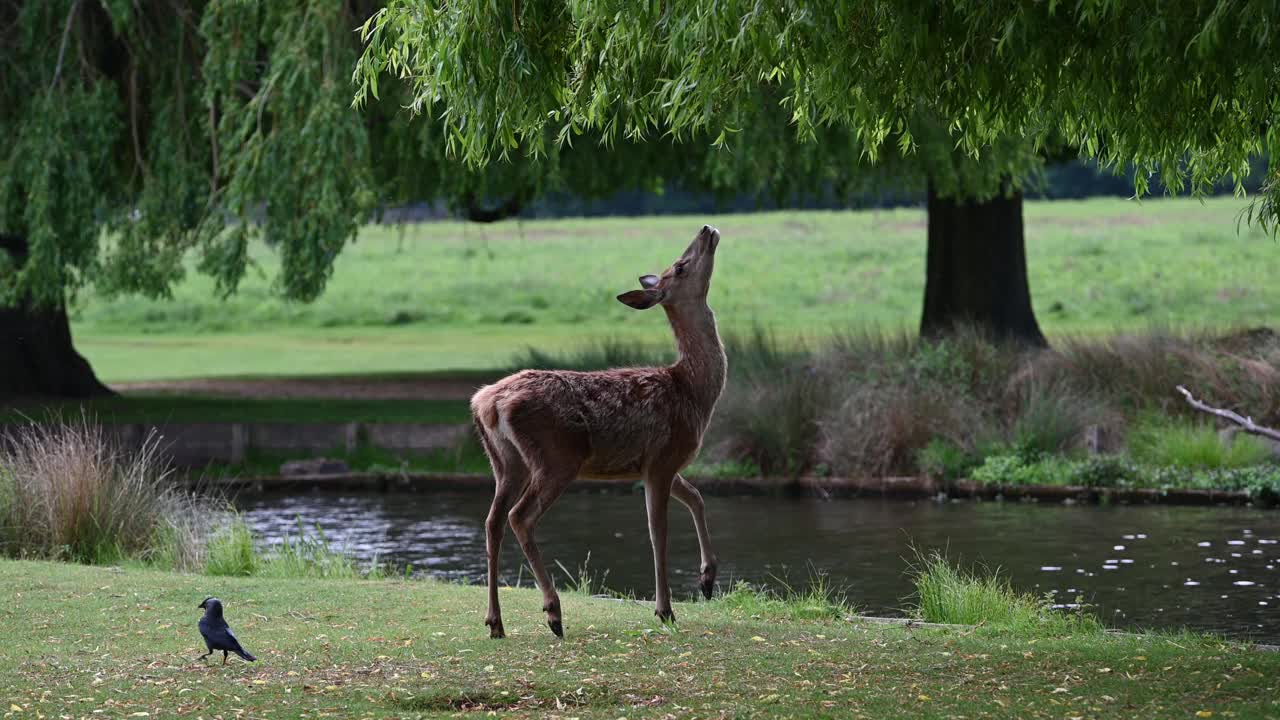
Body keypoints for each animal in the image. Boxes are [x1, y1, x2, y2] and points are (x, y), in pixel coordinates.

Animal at [473, 222, 732, 632]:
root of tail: (488, 404)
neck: (693, 391)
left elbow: (696, 496)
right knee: (520, 517)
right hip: (557, 457)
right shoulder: (663, 457)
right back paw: (553, 611)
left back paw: (495, 622)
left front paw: (707, 579)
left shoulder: (656, 462)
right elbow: (658, 532)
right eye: (680, 266)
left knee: (492, 521)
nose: (707, 229)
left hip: (505, 463)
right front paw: (664, 609)